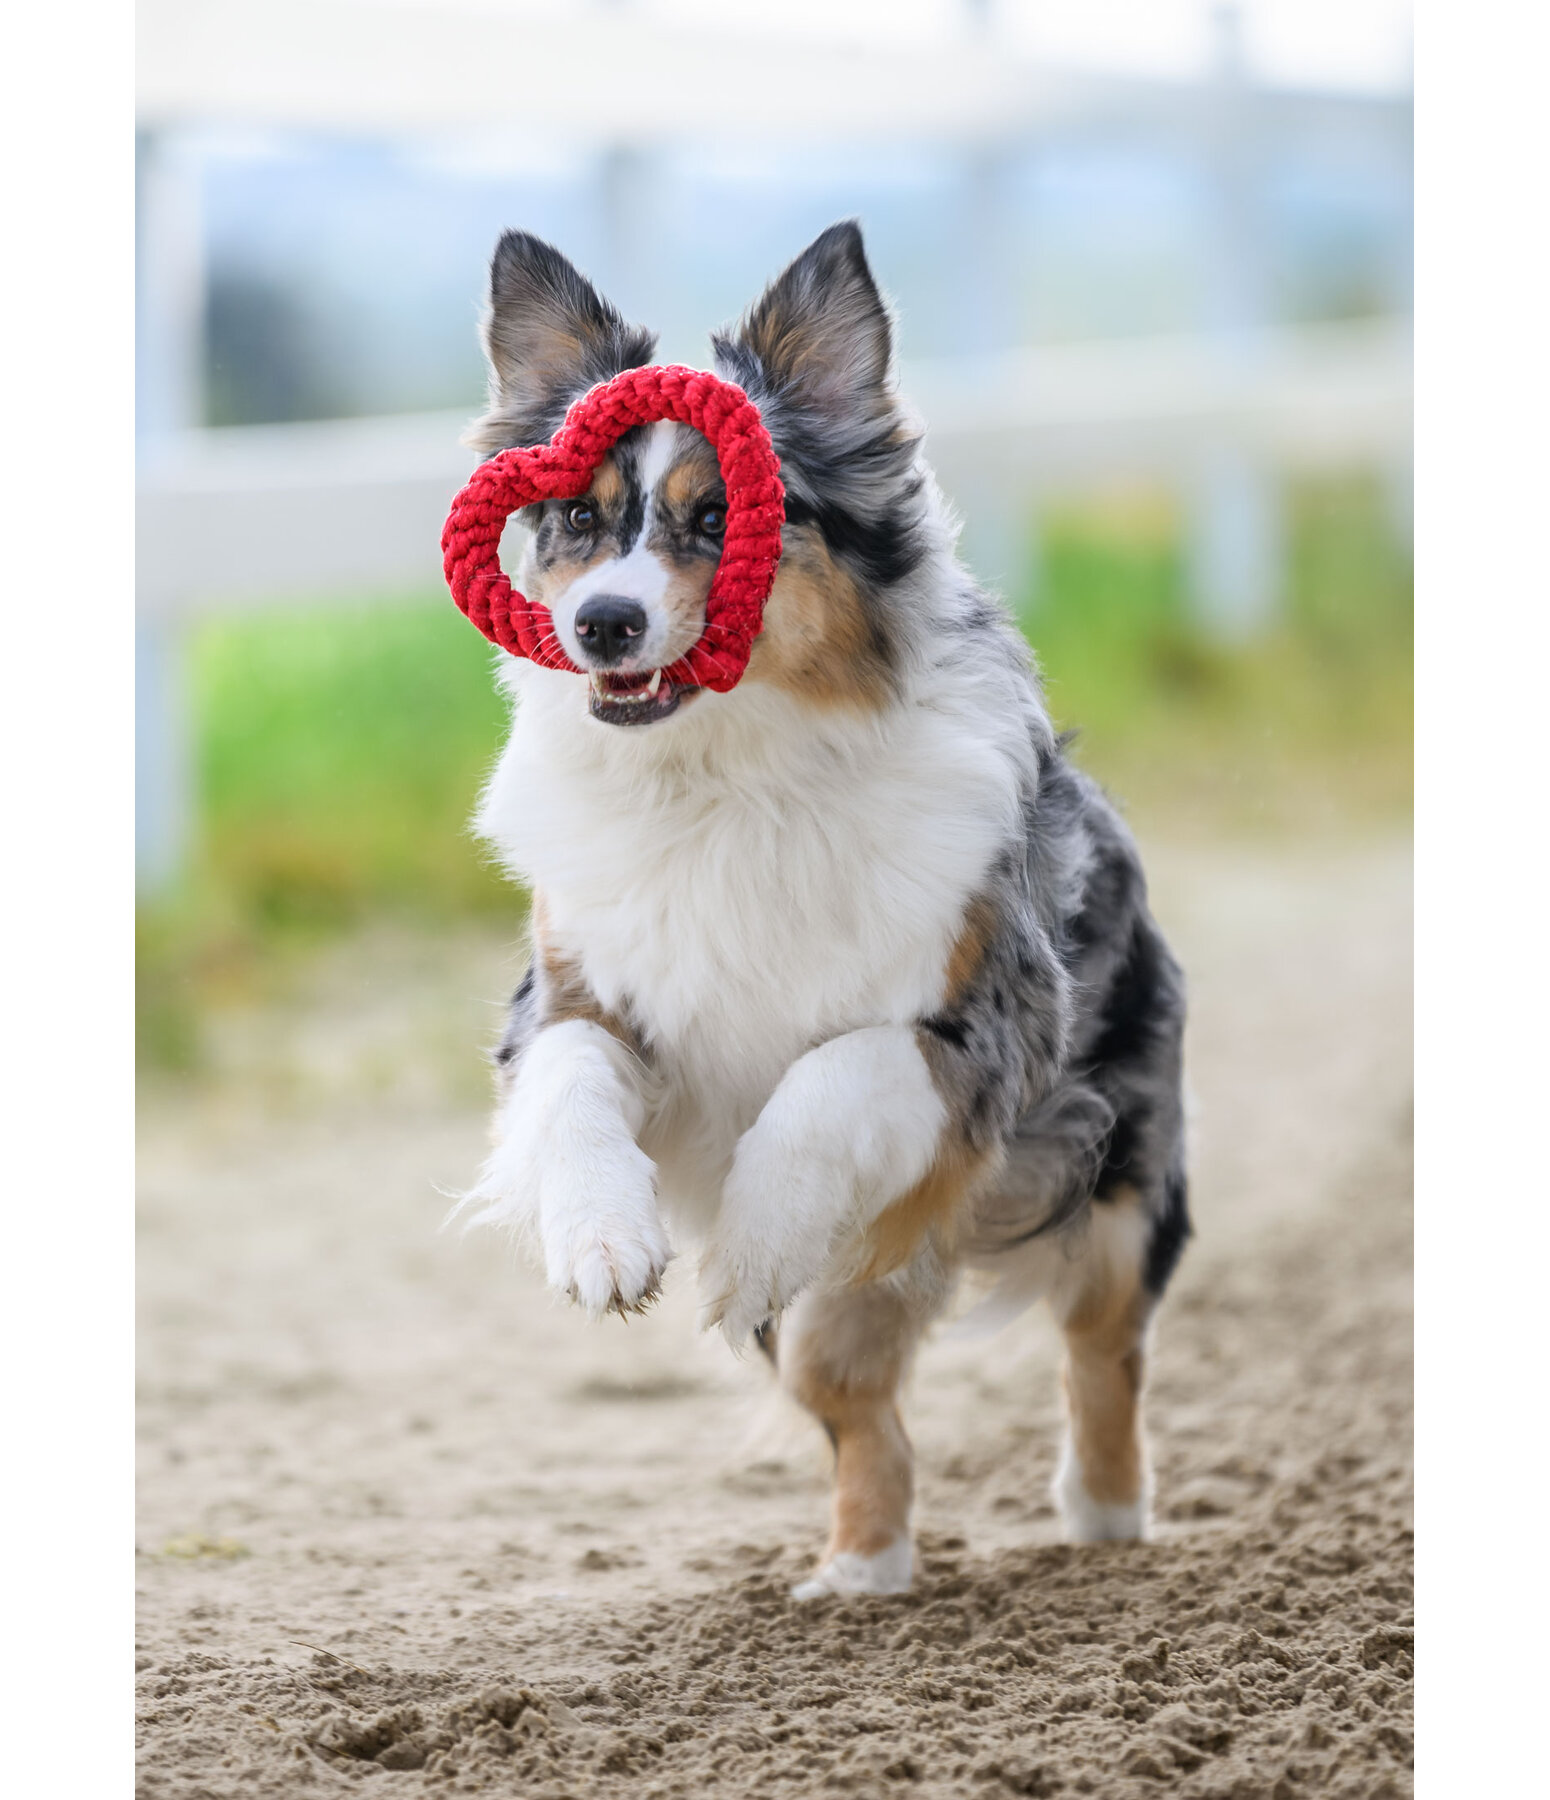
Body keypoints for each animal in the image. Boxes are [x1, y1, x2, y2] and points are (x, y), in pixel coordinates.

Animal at [453, 217, 1188, 1598]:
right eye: (577, 515)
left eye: (720, 517)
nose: (602, 623)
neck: (726, 776)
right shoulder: (574, 994)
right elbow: (574, 1090)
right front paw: (602, 1244)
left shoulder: (982, 1028)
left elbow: (829, 1078)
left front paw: (746, 1237)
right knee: (851, 1390)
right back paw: (862, 1567)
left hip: (1117, 1165)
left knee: (1100, 1342)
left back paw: (1106, 1513)